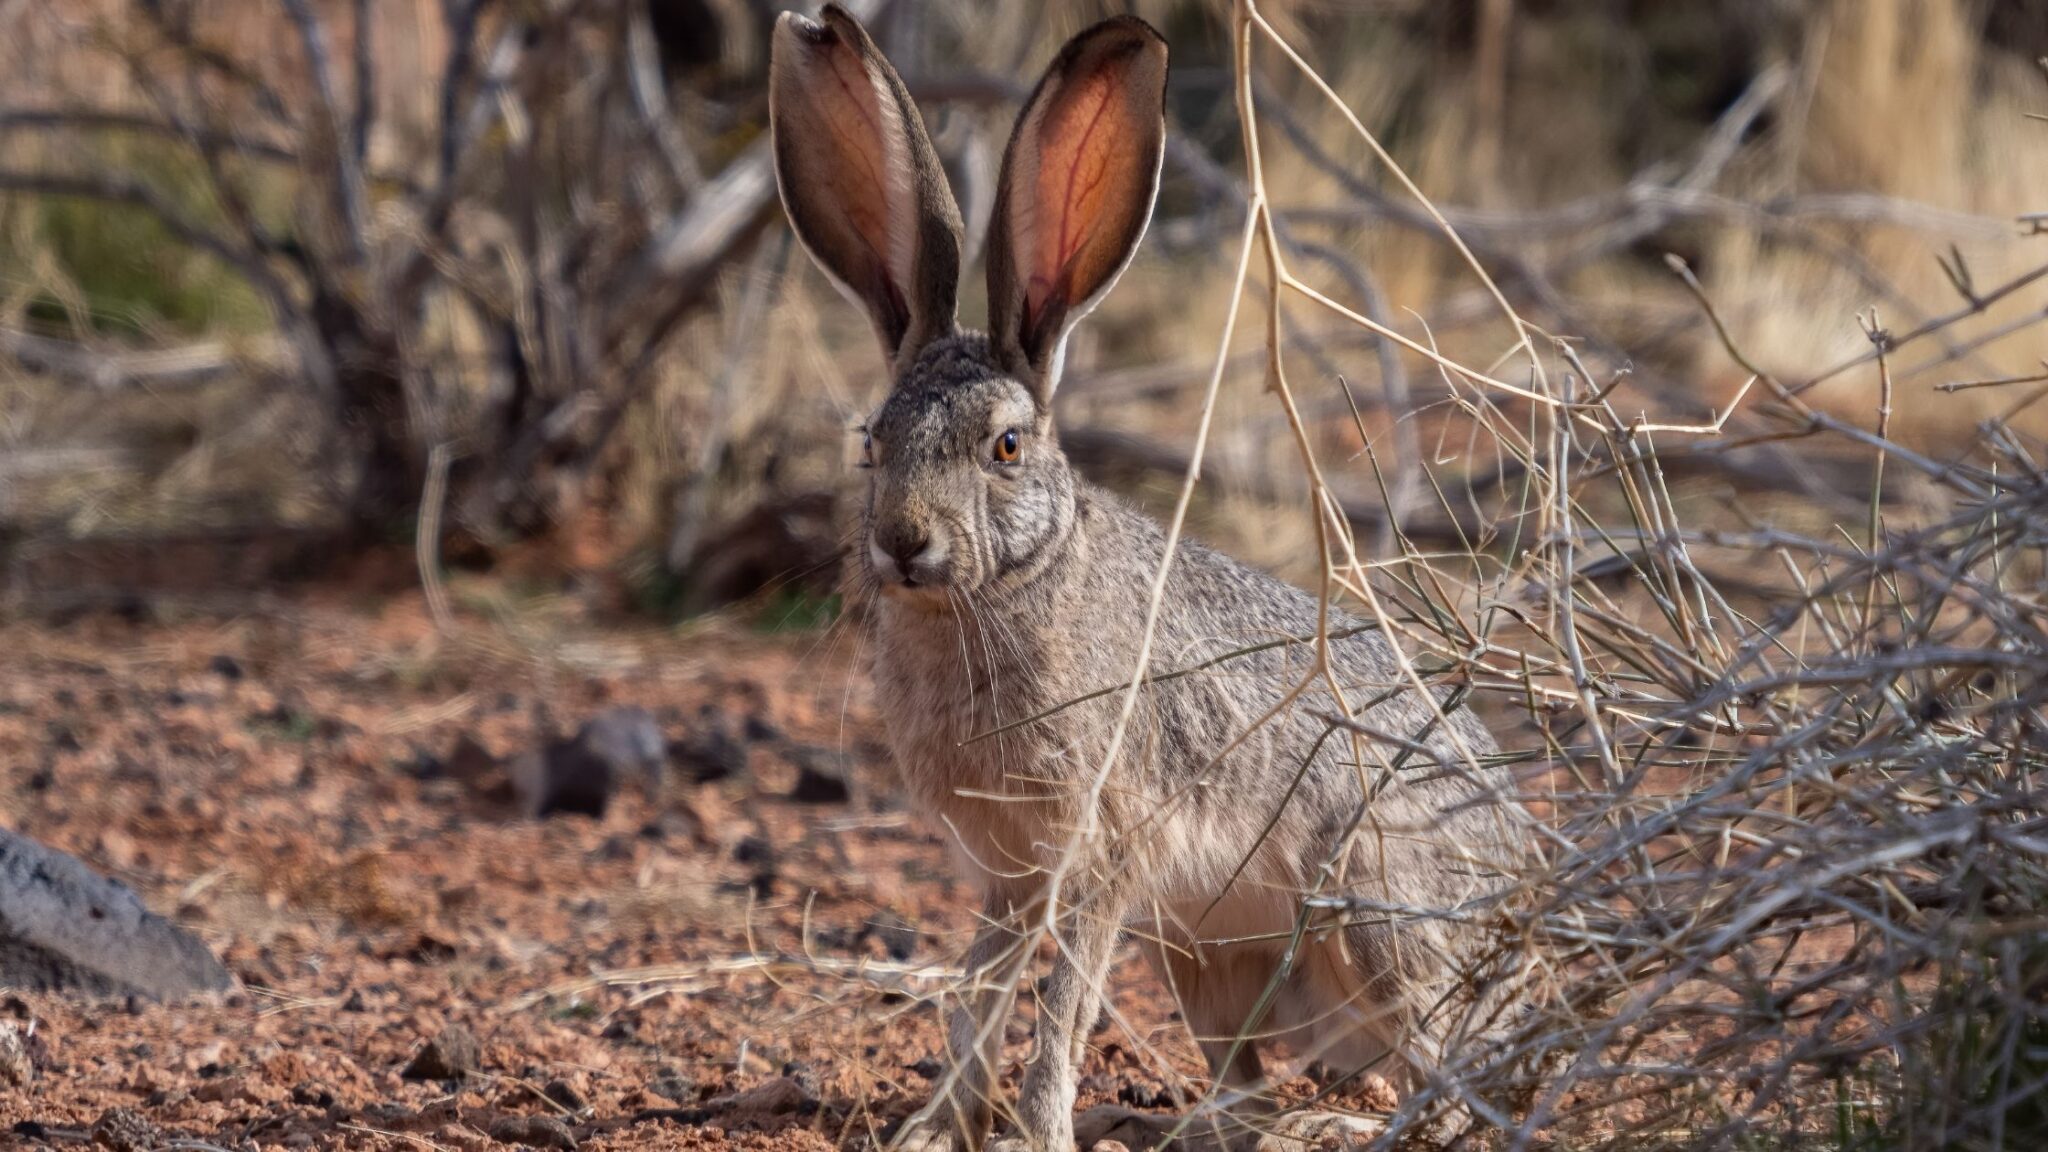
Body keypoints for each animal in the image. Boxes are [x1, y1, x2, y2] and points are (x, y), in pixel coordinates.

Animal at [768, 7, 1527, 1150]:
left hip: (1377, 917)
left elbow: (1060, 1004)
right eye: (872, 443)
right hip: (1204, 964)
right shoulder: (1010, 875)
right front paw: (937, 1129)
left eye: (1004, 447)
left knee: (1443, 1087)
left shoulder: (1098, 852)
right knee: (1251, 1087)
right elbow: (979, 996)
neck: (1003, 592)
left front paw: (1033, 1131)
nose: (904, 542)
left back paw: (1327, 1127)